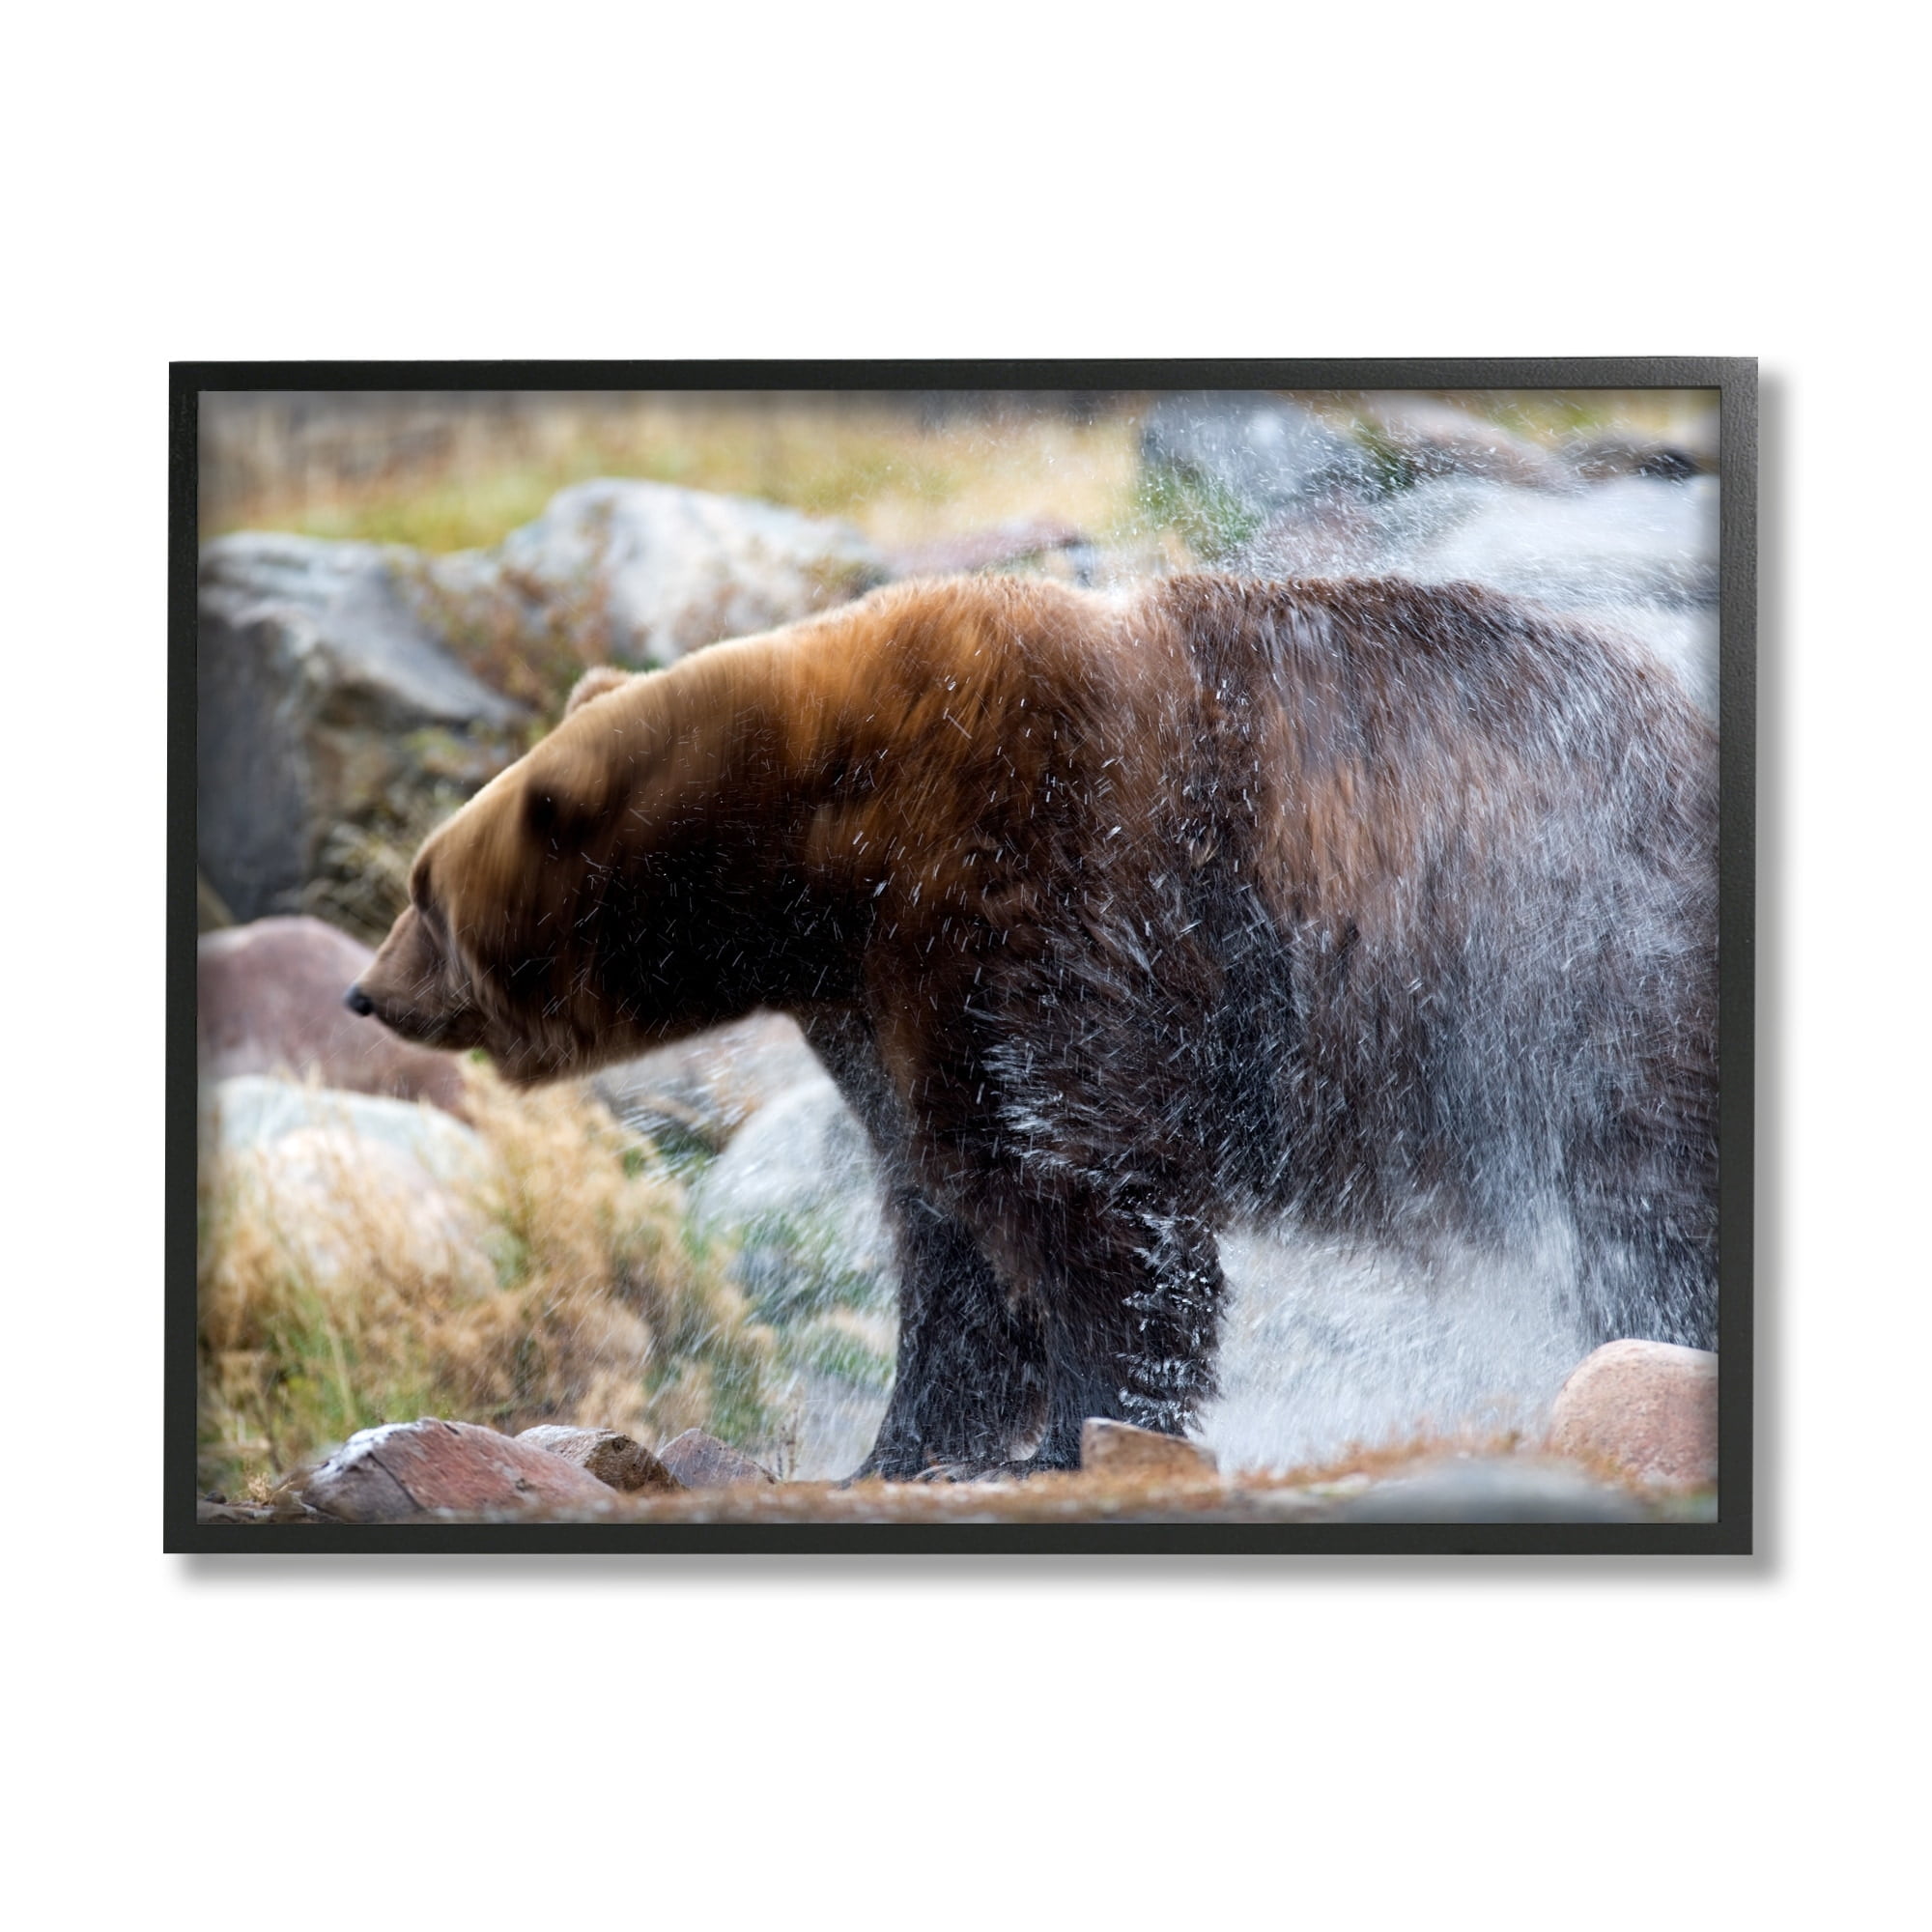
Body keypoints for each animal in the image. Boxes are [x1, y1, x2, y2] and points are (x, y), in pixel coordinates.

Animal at [347, 573, 1719, 1479]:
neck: (819, 851)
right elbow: (946, 1222)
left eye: (422, 892)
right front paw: (903, 1444)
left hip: (1586, 989)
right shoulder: (874, 1002)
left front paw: (1077, 1427)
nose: (364, 991)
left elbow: (1078, 1187)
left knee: (1645, 1224)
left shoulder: (1034, 866)